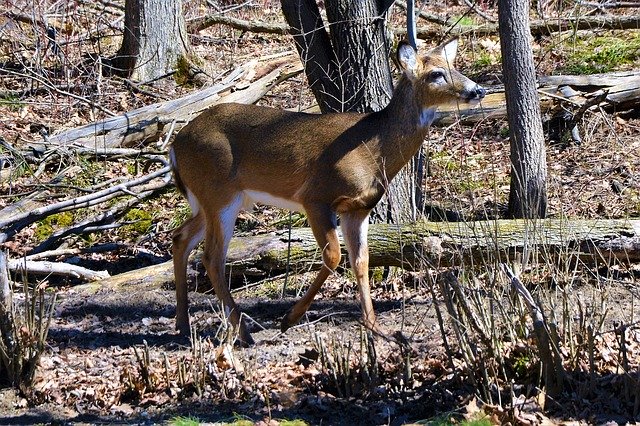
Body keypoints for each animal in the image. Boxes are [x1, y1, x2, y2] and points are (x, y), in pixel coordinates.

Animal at [170, 36, 484, 344]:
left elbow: (361, 260)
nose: (477, 89)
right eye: (436, 74)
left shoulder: (358, 209)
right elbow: (333, 255)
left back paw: (184, 325)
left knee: (181, 237)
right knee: (212, 257)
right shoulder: (316, 196)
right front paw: (289, 318)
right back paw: (243, 332)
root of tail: (175, 144)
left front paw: (376, 327)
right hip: (220, 193)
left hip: (212, 198)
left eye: (454, 66)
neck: (374, 149)